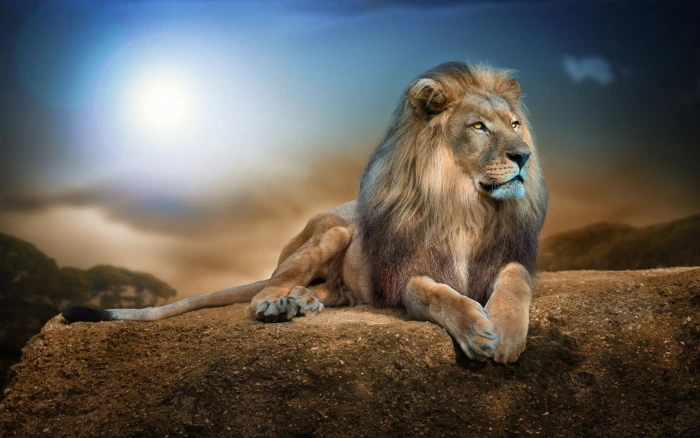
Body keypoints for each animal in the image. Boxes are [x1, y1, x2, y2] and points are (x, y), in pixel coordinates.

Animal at [63, 61, 548, 363]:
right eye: (479, 127)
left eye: (515, 124)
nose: (523, 156)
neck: (466, 206)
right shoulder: (407, 276)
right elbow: (438, 294)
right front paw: (477, 330)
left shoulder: (509, 258)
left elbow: (515, 282)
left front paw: (504, 332)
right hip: (332, 233)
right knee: (268, 286)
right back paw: (278, 304)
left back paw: (304, 302)